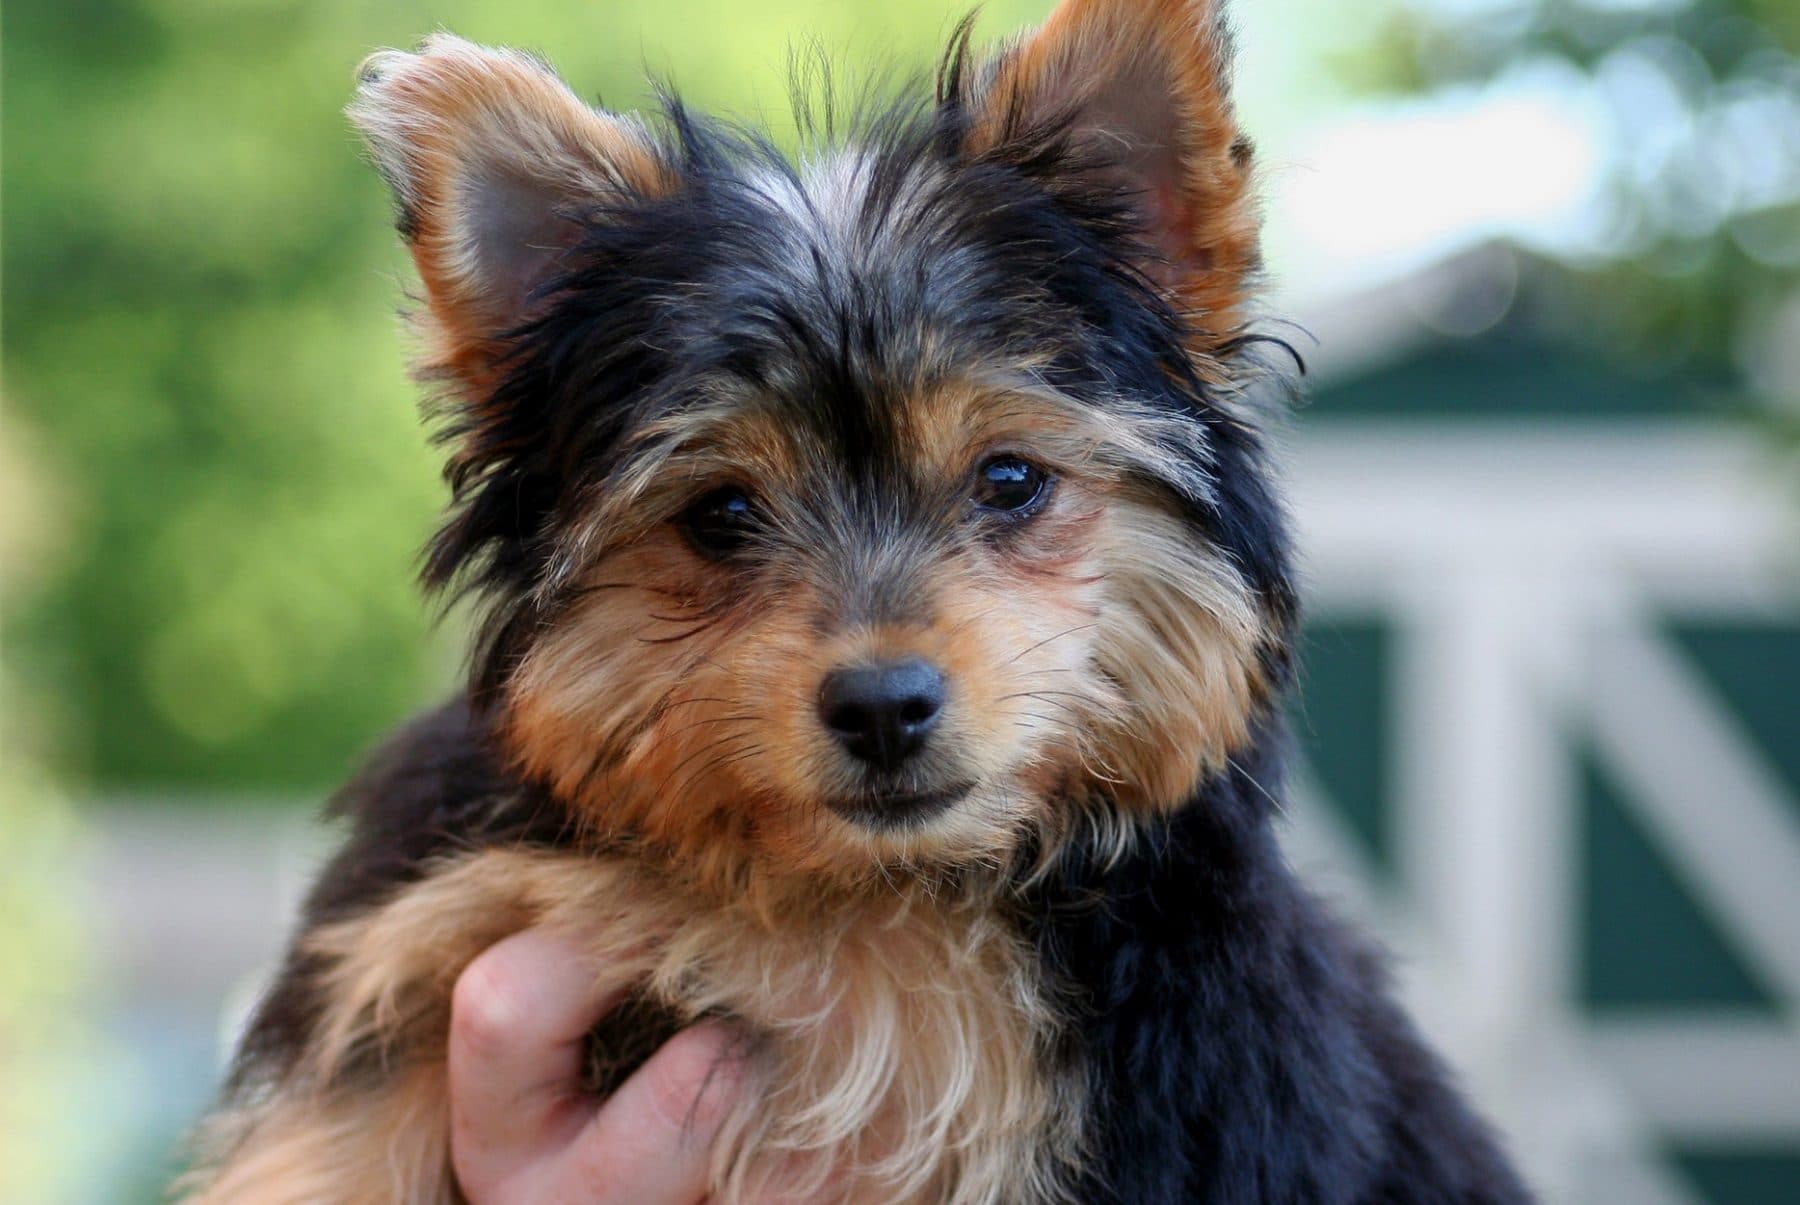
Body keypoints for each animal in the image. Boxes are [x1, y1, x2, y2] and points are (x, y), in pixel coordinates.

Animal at [179, 4, 1533, 1195]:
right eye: (721, 514)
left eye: (1010, 480)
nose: (883, 705)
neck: (851, 897)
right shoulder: (433, 912)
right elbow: (335, 1130)